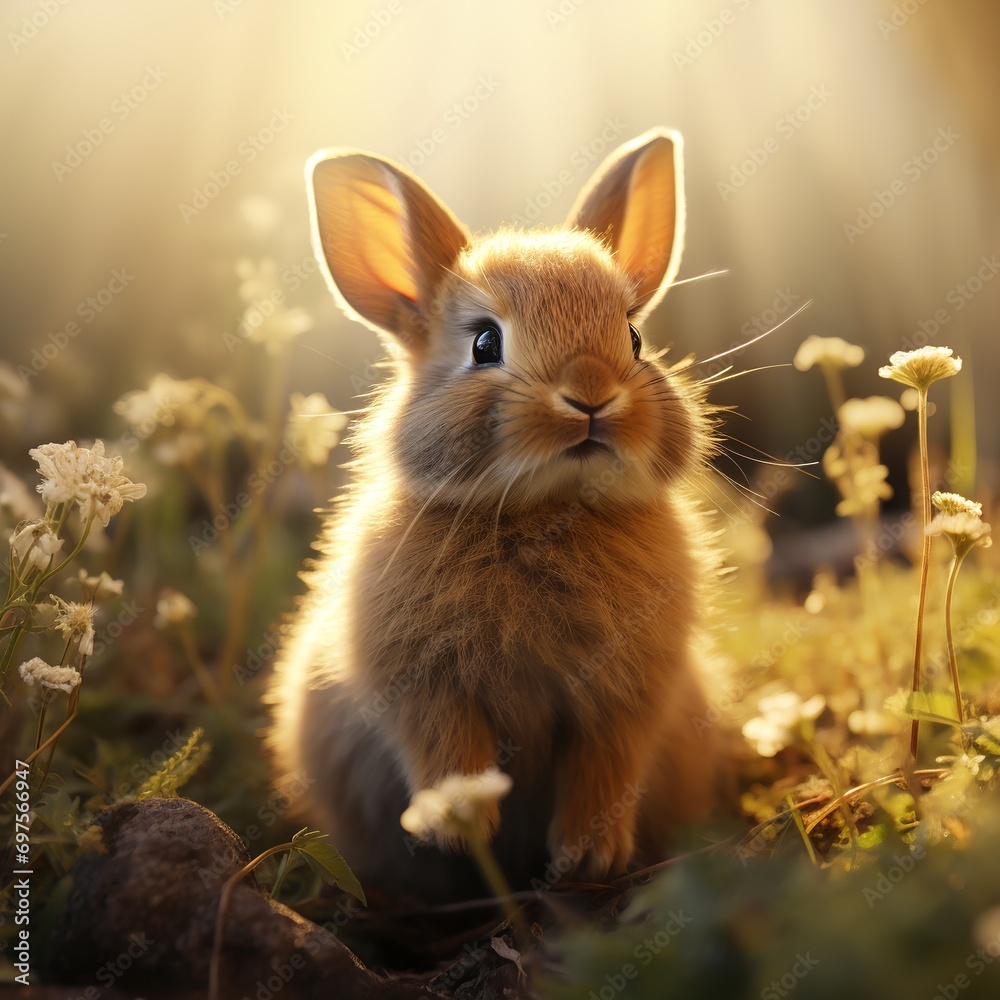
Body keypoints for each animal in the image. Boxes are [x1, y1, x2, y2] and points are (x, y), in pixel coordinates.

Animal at [268, 127, 725, 903]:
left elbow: (607, 762)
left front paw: (588, 856)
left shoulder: (628, 694)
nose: (591, 395)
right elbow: (443, 741)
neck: (547, 510)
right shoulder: (420, 682)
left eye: (634, 339)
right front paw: (461, 824)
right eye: (485, 343)